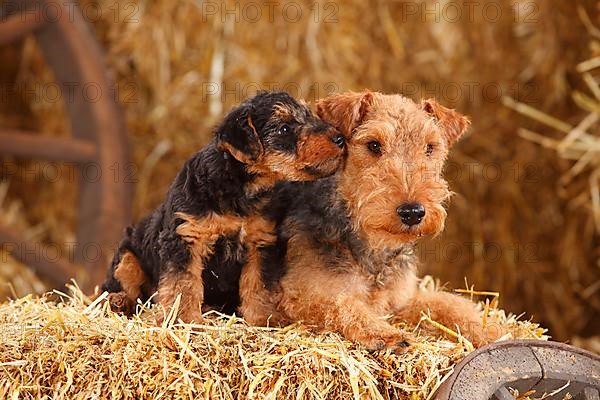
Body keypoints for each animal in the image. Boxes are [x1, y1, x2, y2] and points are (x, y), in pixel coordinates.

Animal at [101, 90, 344, 322]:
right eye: (284, 128)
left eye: (309, 115)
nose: (340, 138)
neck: (238, 187)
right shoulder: (186, 237)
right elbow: (182, 285)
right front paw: (181, 318)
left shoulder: (260, 242)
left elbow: (258, 284)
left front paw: (265, 317)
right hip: (126, 259)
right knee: (117, 287)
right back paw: (118, 302)